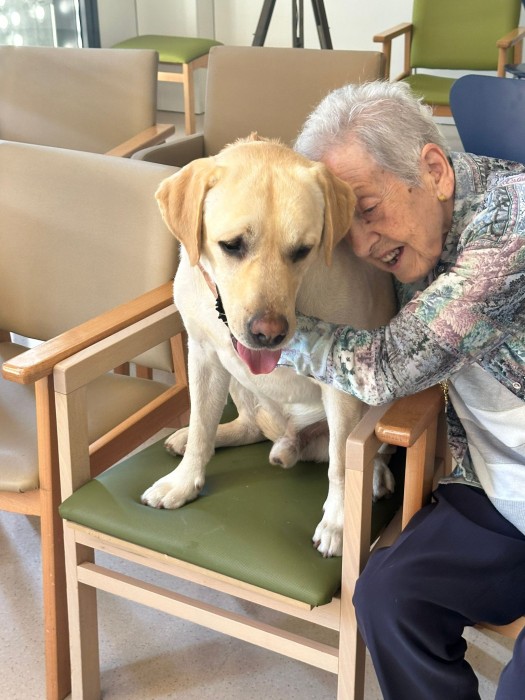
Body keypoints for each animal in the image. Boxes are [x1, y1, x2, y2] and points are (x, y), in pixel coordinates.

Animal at [141, 134, 397, 557]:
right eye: (231, 245)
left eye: (304, 250)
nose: (269, 333)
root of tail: (294, 439)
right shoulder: (204, 356)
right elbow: (200, 426)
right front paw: (184, 480)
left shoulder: (344, 386)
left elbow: (342, 464)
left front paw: (339, 522)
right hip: (239, 382)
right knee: (247, 426)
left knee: (359, 452)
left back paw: (374, 475)